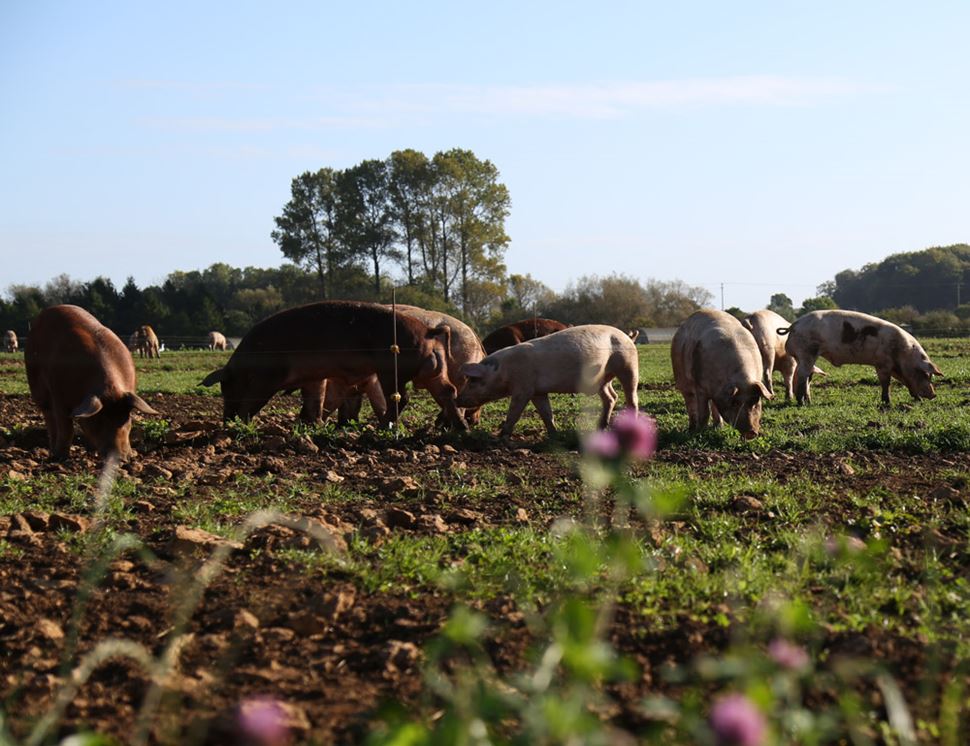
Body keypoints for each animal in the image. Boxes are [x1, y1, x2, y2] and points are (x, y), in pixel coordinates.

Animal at [25, 304, 157, 460]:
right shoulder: (58, 395)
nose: (119, 457)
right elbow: (66, 427)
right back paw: (52, 452)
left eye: (127, 419)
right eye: (99, 420)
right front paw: (60, 457)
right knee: (49, 417)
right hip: (36, 385)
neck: (109, 387)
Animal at [200, 298, 466, 428]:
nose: (225, 420)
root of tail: (428, 331)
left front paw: (241, 424)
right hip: (431, 373)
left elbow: (253, 401)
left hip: (391, 371)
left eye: (227, 388)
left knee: (402, 398)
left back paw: (382, 427)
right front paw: (308, 425)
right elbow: (312, 401)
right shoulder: (311, 378)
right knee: (448, 391)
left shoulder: (267, 378)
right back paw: (460, 427)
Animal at [668, 306, 768, 436]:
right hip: (682, 380)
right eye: (735, 403)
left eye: (755, 401)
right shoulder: (700, 387)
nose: (751, 432)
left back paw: (718, 427)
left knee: (713, 405)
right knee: (690, 403)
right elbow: (704, 412)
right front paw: (700, 432)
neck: (741, 378)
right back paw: (692, 429)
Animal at [776, 308, 940, 404]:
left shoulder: (895, 368)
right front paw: (887, 404)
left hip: (803, 355)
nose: (933, 395)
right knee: (802, 376)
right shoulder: (883, 363)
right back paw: (802, 403)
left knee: (805, 376)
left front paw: (918, 400)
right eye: (926, 374)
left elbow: (906, 382)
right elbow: (886, 383)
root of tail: (794, 325)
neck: (904, 354)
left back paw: (808, 402)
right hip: (807, 352)